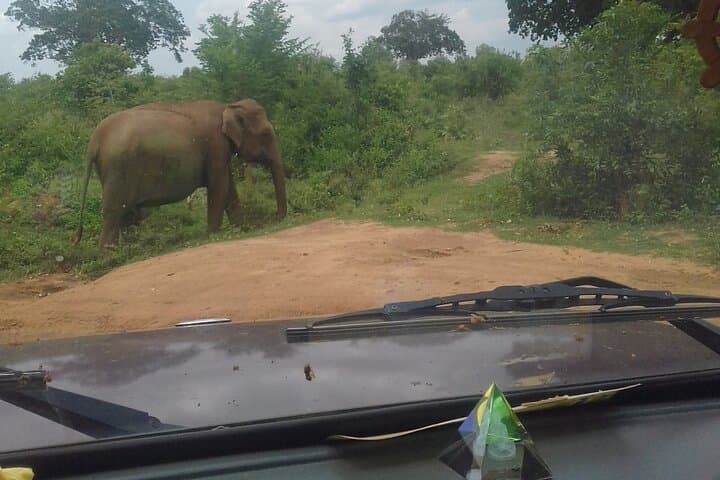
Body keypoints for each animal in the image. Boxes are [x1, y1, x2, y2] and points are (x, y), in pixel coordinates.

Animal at [74, 99, 287, 247]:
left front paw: (242, 228)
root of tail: (94, 140)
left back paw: (127, 249)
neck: (228, 106)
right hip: (118, 169)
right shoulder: (215, 146)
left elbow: (229, 188)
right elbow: (219, 186)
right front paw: (212, 234)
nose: (275, 217)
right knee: (114, 213)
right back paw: (109, 254)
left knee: (125, 214)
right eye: (266, 134)